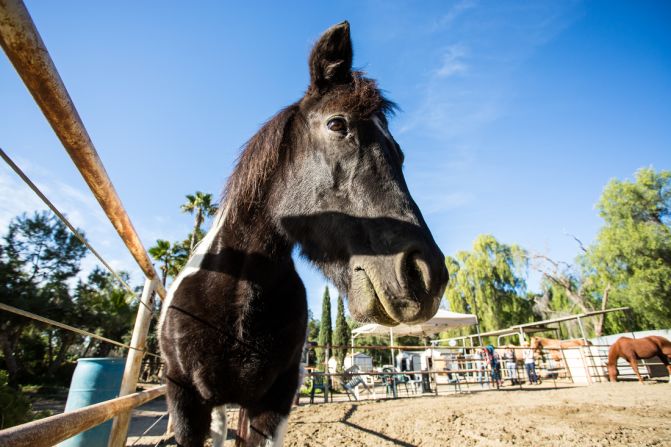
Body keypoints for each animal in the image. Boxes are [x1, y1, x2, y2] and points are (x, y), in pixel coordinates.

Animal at [159, 21, 448, 447]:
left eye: (400, 152)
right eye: (337, 124)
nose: (427, 275)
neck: (236, 292)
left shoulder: (273, 404)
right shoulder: (186, 402)